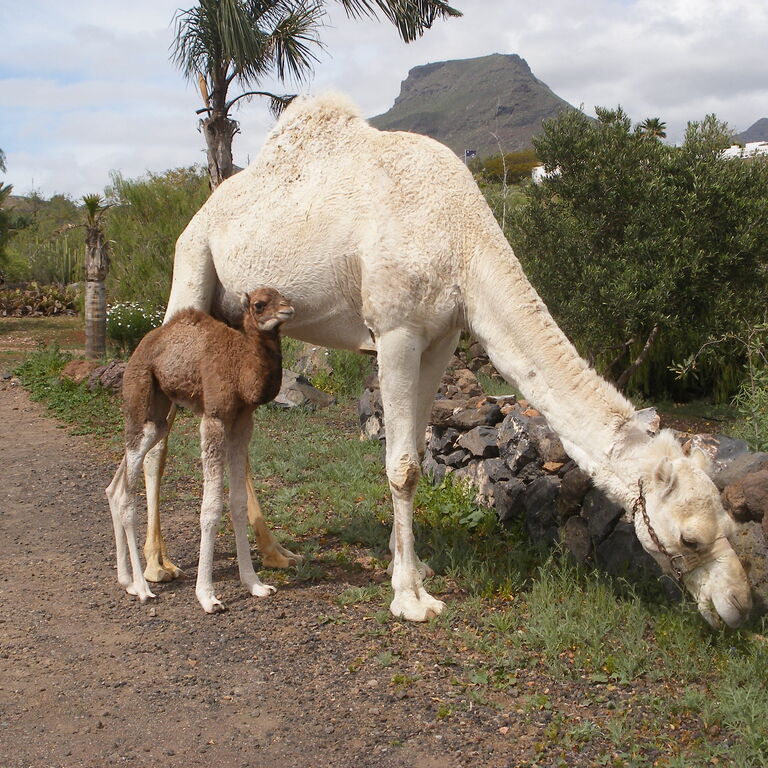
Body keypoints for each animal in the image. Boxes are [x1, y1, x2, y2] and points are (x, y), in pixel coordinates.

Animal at [106, 287, 294, 612]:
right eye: (259, 304)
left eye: (283, 295)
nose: (288, 309)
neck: (240, 367)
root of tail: (139, 348)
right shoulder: (214, 418)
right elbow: (211, 506)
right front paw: (207, 596)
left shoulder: (243, 422)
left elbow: (238, 502)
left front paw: (255, 584)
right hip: (138, 397)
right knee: (127, 495)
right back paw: (143, 588)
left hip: (157, 420)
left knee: (117, 486)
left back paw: (127, 582)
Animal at [142, 92, 752, 628]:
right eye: (690, 537)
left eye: (730, 522)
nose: (741, 606)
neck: (463, 238)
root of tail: (200, 211)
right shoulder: (395, 331)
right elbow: (403, 466)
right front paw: (410, 599)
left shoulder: (439, 337)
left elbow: (414, 451)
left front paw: (414, 567)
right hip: (191, 265)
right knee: (162, 426)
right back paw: (156, 567)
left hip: (237, 317)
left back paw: (275, 555)